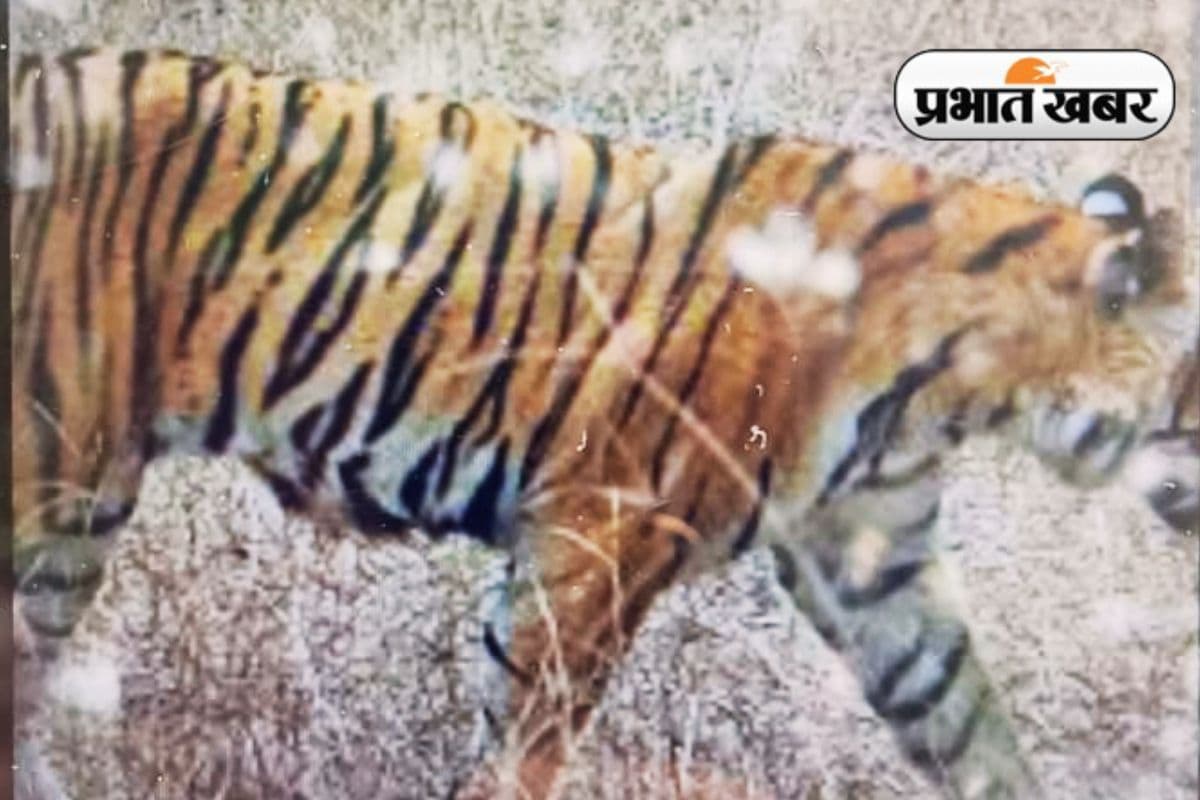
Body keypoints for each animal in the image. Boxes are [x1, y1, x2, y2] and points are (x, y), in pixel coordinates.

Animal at [10, 47, 1196, 800]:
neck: (956, 390)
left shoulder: (874, 558)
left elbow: (963, 714)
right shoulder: (604, 532)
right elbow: (529, 740)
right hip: (58, 476)